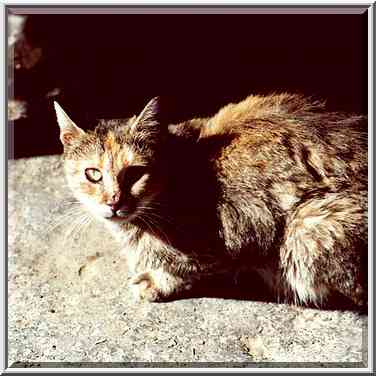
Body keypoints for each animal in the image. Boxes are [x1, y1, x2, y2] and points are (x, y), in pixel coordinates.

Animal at [53, 94, 368, 308]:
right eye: (93, 174)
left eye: (134, 173)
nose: (113, 202)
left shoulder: (244, 229)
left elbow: (190, 269)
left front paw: (157, 281)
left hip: (308, 228)